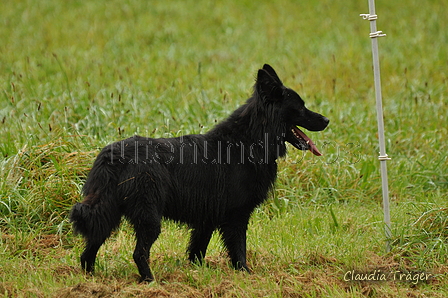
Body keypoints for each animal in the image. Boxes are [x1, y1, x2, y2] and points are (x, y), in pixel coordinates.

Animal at [70, 64, 328, 282]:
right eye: (300, 107)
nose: (326, 119)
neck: (249, 141)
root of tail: (114, 155)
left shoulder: (207, 218)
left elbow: (197, 251)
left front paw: (198, 274)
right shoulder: (236, 215)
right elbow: (239, 250)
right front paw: (245, 274)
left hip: (109, 211)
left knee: (89, 249)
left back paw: (90, 279)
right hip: (148, 217)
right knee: (138, 253)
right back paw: (149, 281)